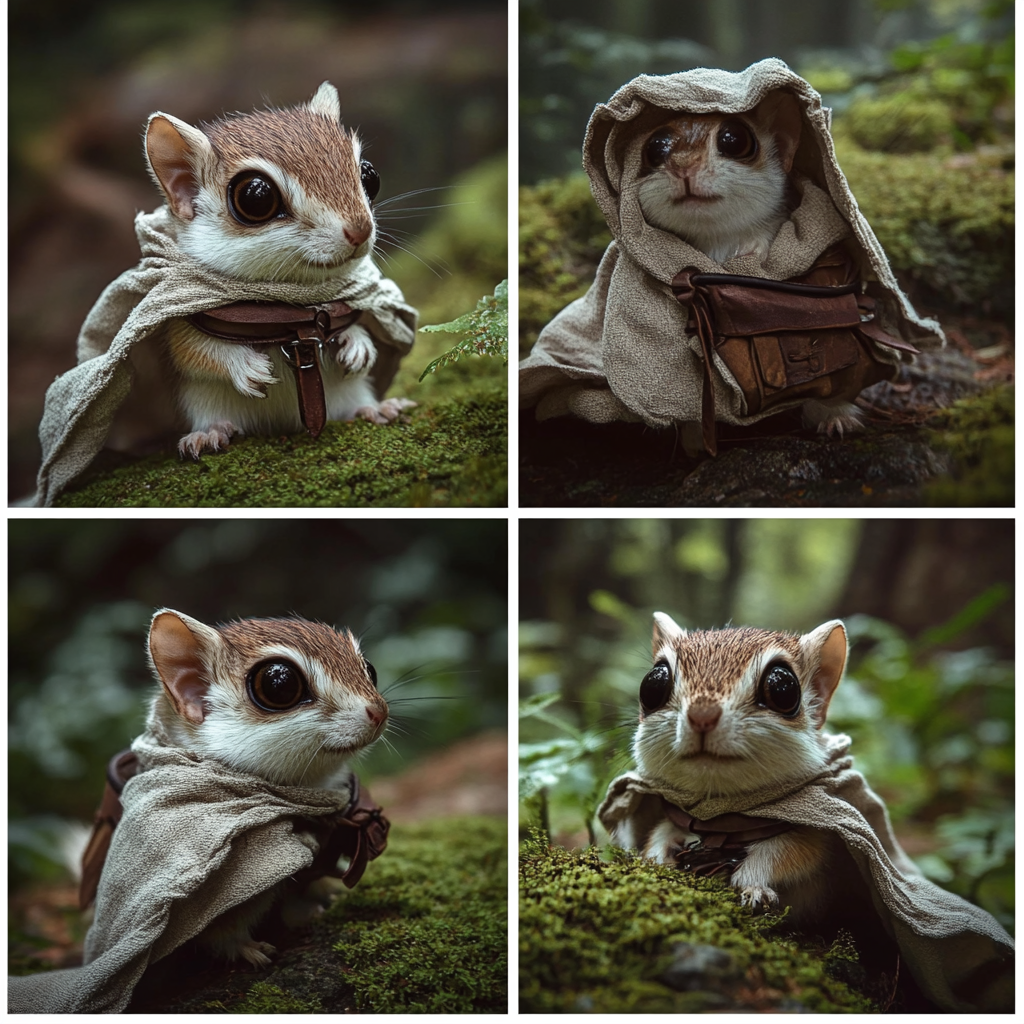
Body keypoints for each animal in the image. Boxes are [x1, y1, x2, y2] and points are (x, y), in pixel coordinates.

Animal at [142, 610, 385, 962]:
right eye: (278, 683)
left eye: (370, 669)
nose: (380, 712)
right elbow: (223, 931)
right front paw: (250, 950)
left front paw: (327, 895)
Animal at [145, 81, 415, 458]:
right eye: (255, 196)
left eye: (369, 176)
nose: (361, 230)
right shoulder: (181, 324)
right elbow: (196, 352)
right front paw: (247, 367)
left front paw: (359, 343)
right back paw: (209, 433)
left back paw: (377, 408)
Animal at [630, 610, 856, 925]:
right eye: (653, 683)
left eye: (783, 688)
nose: (702, 715)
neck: (717, 816)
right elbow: (660, 832)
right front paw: (657, 857)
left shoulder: (812, 836)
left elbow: (784, 854)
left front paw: (753, 886)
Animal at [638, 96, 864, 444]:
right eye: (654, 146)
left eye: (735, 139)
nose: (683, 166)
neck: (717, 241)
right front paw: (694, 436)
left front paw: (837, 418)